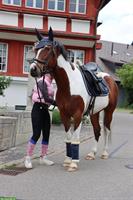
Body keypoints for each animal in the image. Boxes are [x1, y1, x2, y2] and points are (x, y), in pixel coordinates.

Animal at [30, 27, 118, 172]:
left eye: (47, 48)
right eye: (35, 49)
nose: (33, 69)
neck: (69, 85)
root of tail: (109, 78)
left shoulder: (77, 116)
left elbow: (75, 138)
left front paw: (73, 163)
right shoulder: (64, 115)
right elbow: (68, 137)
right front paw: (67, 160)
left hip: (109, 111)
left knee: (107, 129)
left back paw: (105, 153)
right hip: (94, 113)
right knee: (97, 130)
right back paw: (92, 153)